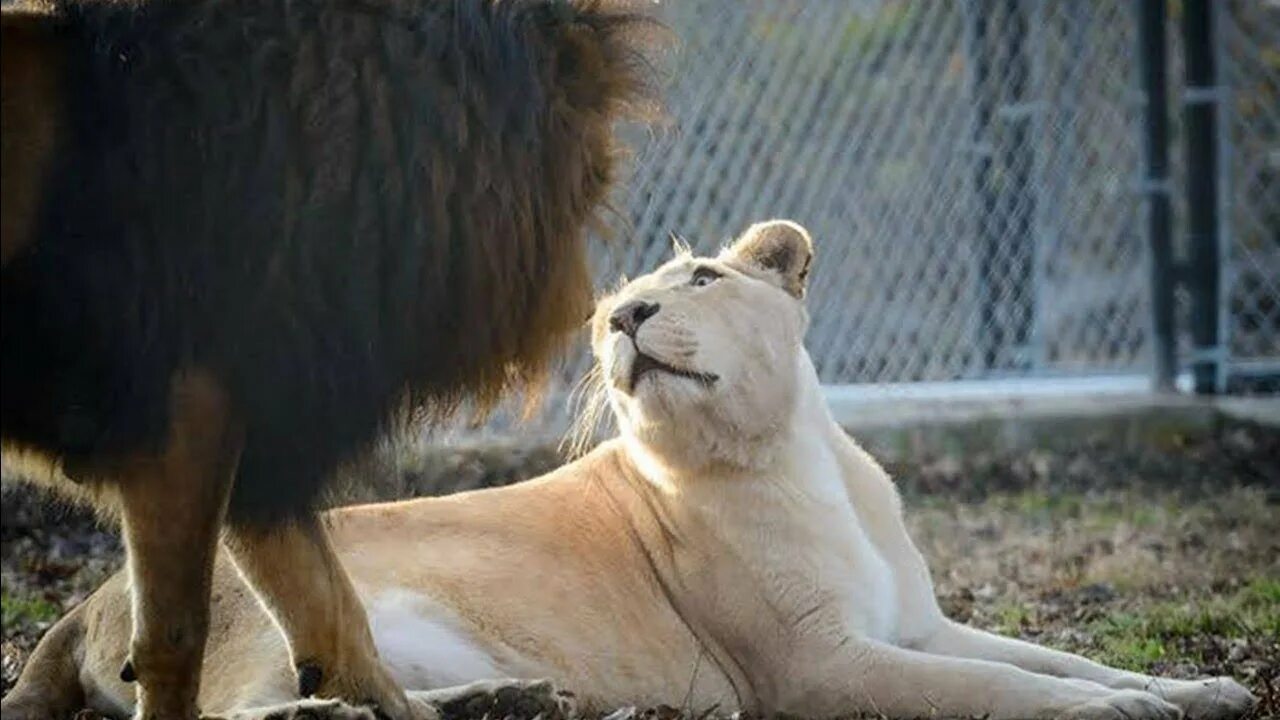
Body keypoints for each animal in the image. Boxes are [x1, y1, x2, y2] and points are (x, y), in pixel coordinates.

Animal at [0, 2, 655, 712]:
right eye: (592, 175)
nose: (593, 309)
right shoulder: (192, 406)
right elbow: (175, 635)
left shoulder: (257, 419)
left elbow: (332, 612)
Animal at [2, 221, 1259, 712]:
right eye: (615, 301)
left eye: (700, 277)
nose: (624, 316)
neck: (786, 454)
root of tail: (83, 604)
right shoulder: (813, 668)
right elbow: (1013, 693)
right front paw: (1134, 711)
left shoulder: (915, 624)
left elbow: (1059, 661)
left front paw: (1199, 692)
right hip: (261, 612)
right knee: (269, 711)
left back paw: (512, 699)